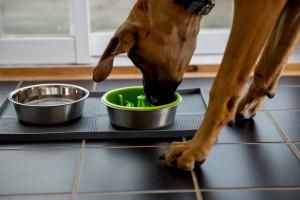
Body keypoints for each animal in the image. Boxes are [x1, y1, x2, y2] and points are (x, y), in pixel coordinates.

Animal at [93, 0, 300, 171]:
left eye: (139, 61)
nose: (153, 100)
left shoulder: (257, 6)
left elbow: (224, 84)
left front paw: (195, 148)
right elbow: (269, 62)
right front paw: (252, 100)